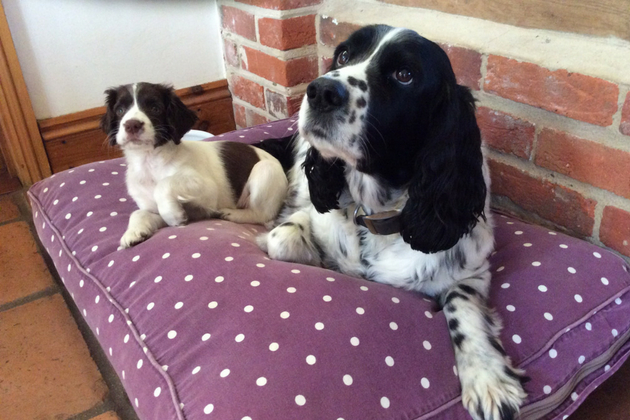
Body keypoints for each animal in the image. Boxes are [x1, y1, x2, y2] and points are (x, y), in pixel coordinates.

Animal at [102, 82, 288, 248]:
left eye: (155, 108)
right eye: (120, 110)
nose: (132, 125)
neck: (151, 162)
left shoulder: (208, 191)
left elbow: (165, 184)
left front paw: (174, 215)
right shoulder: (153, 208)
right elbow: (138, 212)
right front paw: (132, 233)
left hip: (265, 170)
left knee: (261, 214)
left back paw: (232, 214)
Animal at [256, 26, 528, 420]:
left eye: (404, 75)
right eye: (343, 55)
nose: (321, 91)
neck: (377, 214)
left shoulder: (472, 273)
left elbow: (462, 307)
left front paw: (487, 375)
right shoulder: (309, 216)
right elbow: (283, 238)